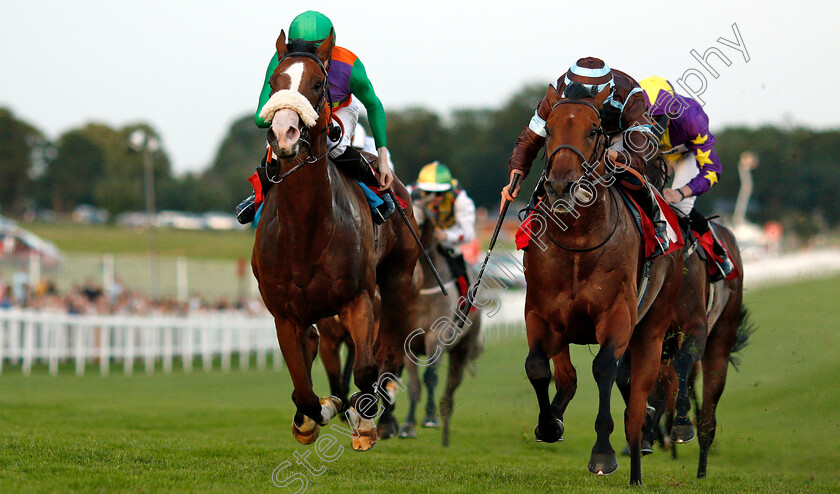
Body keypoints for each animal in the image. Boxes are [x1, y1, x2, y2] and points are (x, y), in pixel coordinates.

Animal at [249, 28, 420, 452]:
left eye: (317, 83)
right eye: (274, 83)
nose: (284, 134)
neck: (306, 231)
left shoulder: (358, 298)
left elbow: (365, 369)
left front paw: (365, 419)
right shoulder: (285, 314)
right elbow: (304, 391)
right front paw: (317, 414)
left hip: (398, 277)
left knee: (388, 348)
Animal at [524, 85, 684, 486]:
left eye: (594, 130)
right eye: (547, 130)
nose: (561, 185)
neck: (578, 239)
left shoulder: (618, 315)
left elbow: (605, 369)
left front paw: (602, 453)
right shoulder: (541, 312)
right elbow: (537, 367)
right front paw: (549, 425)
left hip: (652, 328)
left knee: (636, 402)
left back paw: (637, 465)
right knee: (567, 376)